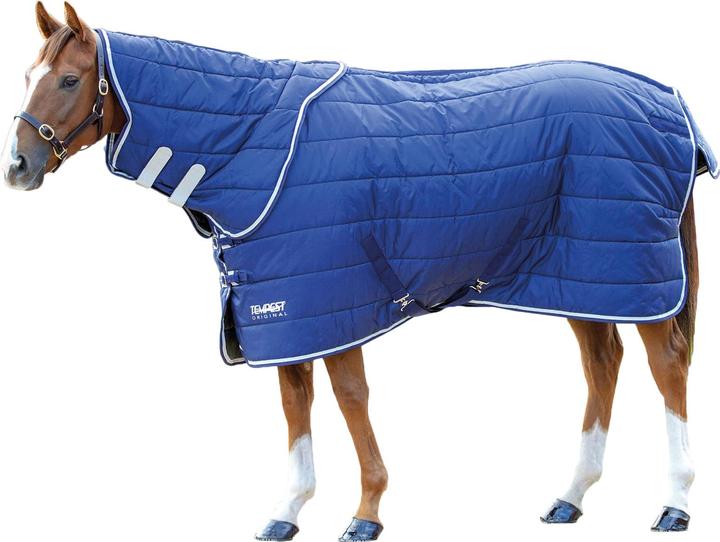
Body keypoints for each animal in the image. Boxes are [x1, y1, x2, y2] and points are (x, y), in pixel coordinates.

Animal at [2, 2, 714, 540]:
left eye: (69, 81)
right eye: (29, 73)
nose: (18, 166)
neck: (257, 145)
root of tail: (669, 101)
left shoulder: (333, 300)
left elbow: (349, 398)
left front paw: (366, 512)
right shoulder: (281, 312)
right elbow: (295, 404)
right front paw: (286, 512)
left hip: (634, 272)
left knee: (666, 364)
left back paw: (674, 503)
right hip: (584, 276)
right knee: (603, 361)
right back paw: (571, 496)